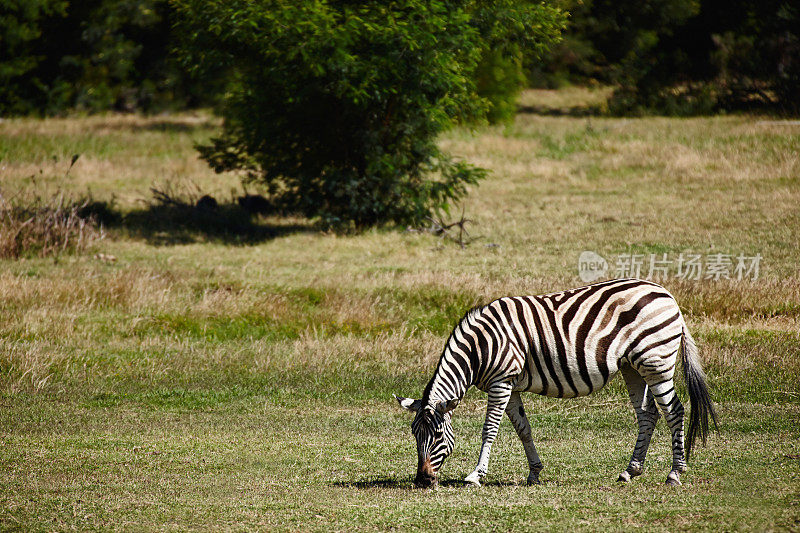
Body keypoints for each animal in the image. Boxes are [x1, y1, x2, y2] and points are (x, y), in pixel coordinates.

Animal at [396, 278, 716, 486]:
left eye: (438, 435)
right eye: (414, 435)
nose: (422, 480)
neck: (479, 348)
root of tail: (667, 294)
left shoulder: (501, 382)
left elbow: (489, 430)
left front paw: (476, 475)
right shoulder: (509, 385)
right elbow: (523, 429)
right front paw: (534, 473)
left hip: (656, 360)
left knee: (674, 411)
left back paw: (675, 473)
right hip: (632, 366)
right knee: (648, 414)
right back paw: (630, 471)